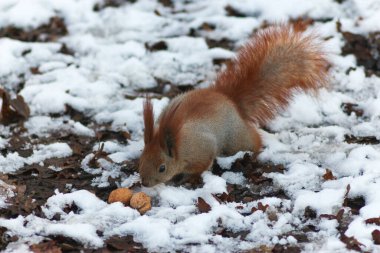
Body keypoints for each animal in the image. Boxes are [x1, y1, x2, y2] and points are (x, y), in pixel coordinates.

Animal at [139, 24, 330, 187]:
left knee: (254, 141)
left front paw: (187, 179)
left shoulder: (202, 151)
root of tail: (230, 100)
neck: (178, 144)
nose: (144, 183)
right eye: (141, 158)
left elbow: (201, 167)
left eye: (162, 168)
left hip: (235, 139)